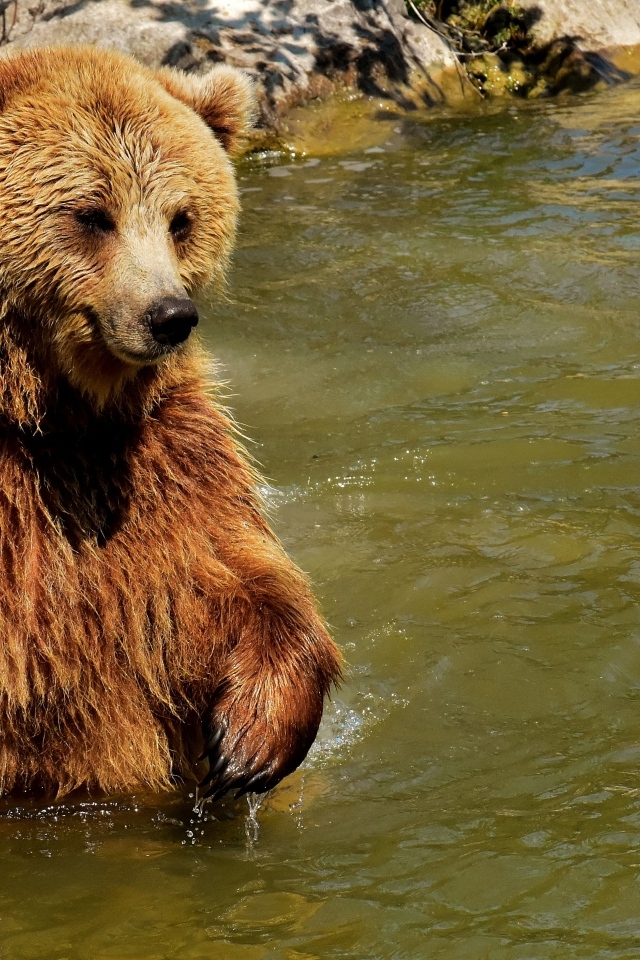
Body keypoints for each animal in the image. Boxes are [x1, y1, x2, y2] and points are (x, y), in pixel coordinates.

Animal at [0, 45, 342, 800]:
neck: (52, 414)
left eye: (181, 218)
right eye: (91, 214)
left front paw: (249, 740)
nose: (169, 315)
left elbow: (234, 573)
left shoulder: (164, 457)